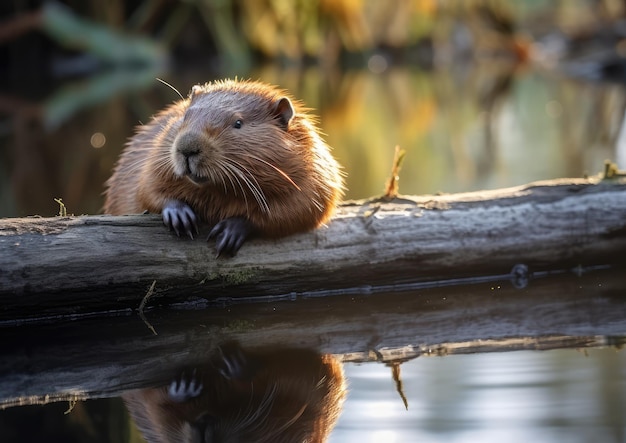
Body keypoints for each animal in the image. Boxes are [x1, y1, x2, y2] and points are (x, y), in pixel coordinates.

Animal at [105, 80, 344, 256]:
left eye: (238, 123)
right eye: (185, 116)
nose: (187, 148)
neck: (216, 191)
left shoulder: (314, 175)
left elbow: (300, 210)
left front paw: (230, 231)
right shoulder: (154, 156)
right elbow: (146, 189)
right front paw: (180, 215)